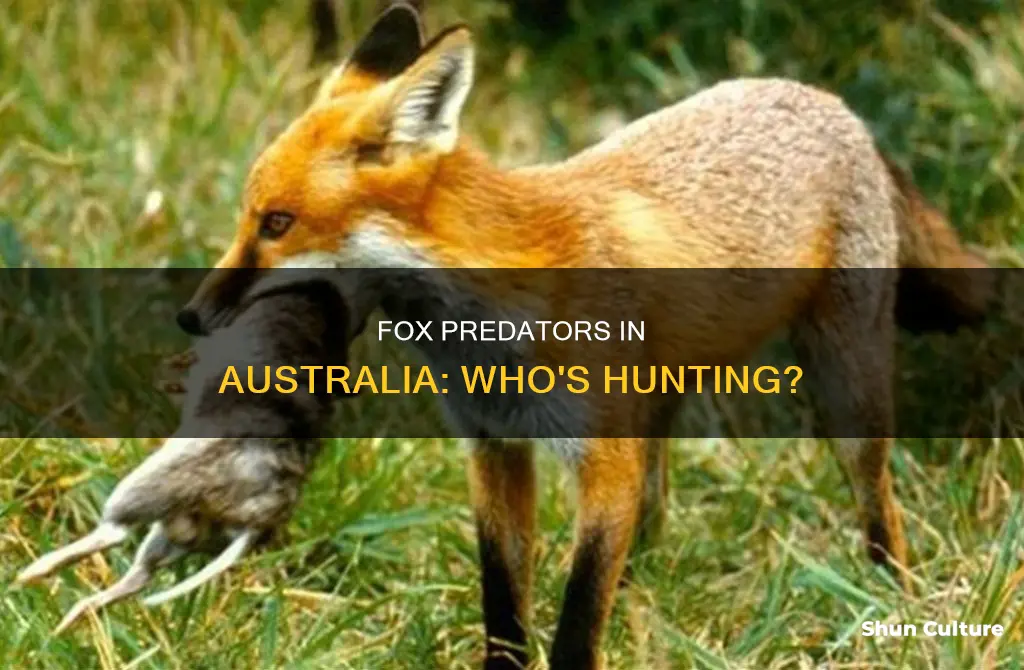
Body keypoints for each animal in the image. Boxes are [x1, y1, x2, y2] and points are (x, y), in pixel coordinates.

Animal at [177, 3, 993, 668]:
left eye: (277, 223)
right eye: (248, 218)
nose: (190, 315)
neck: (493, 318)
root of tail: (831, 103)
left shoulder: (598, 455)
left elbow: (574, 618)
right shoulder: (494, 447)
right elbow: (504, 600)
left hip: (846, 391)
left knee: (879, 505)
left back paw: (892, 598)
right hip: (663, 397)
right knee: (653, 506)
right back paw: (642, 582)